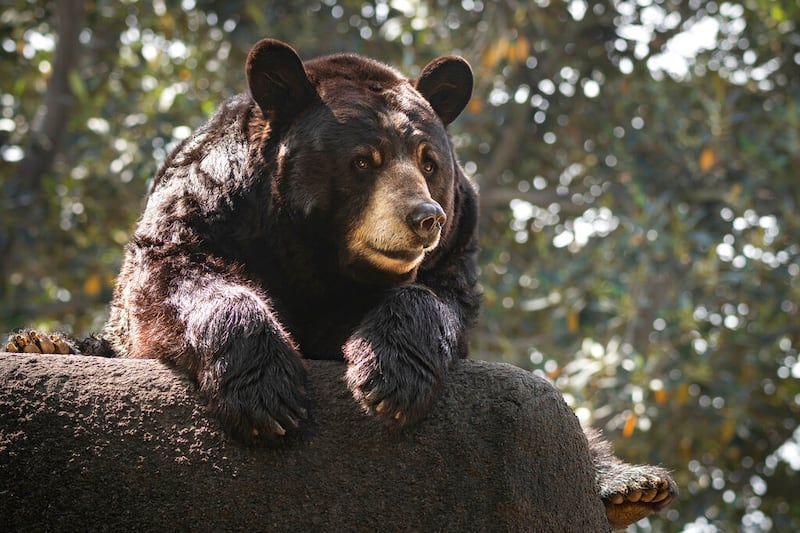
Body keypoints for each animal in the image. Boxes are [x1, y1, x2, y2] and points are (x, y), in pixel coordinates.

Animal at [6, 38, 676, 529]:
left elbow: (434, 299)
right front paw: (271, 396)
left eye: (430, 162)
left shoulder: (456, 250)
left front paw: (388, 378)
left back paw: (629, 483)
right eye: (363, 161)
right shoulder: (208, 206)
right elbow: (177, 277)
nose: (425, 218)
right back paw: (44, 343)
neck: (320, 258)